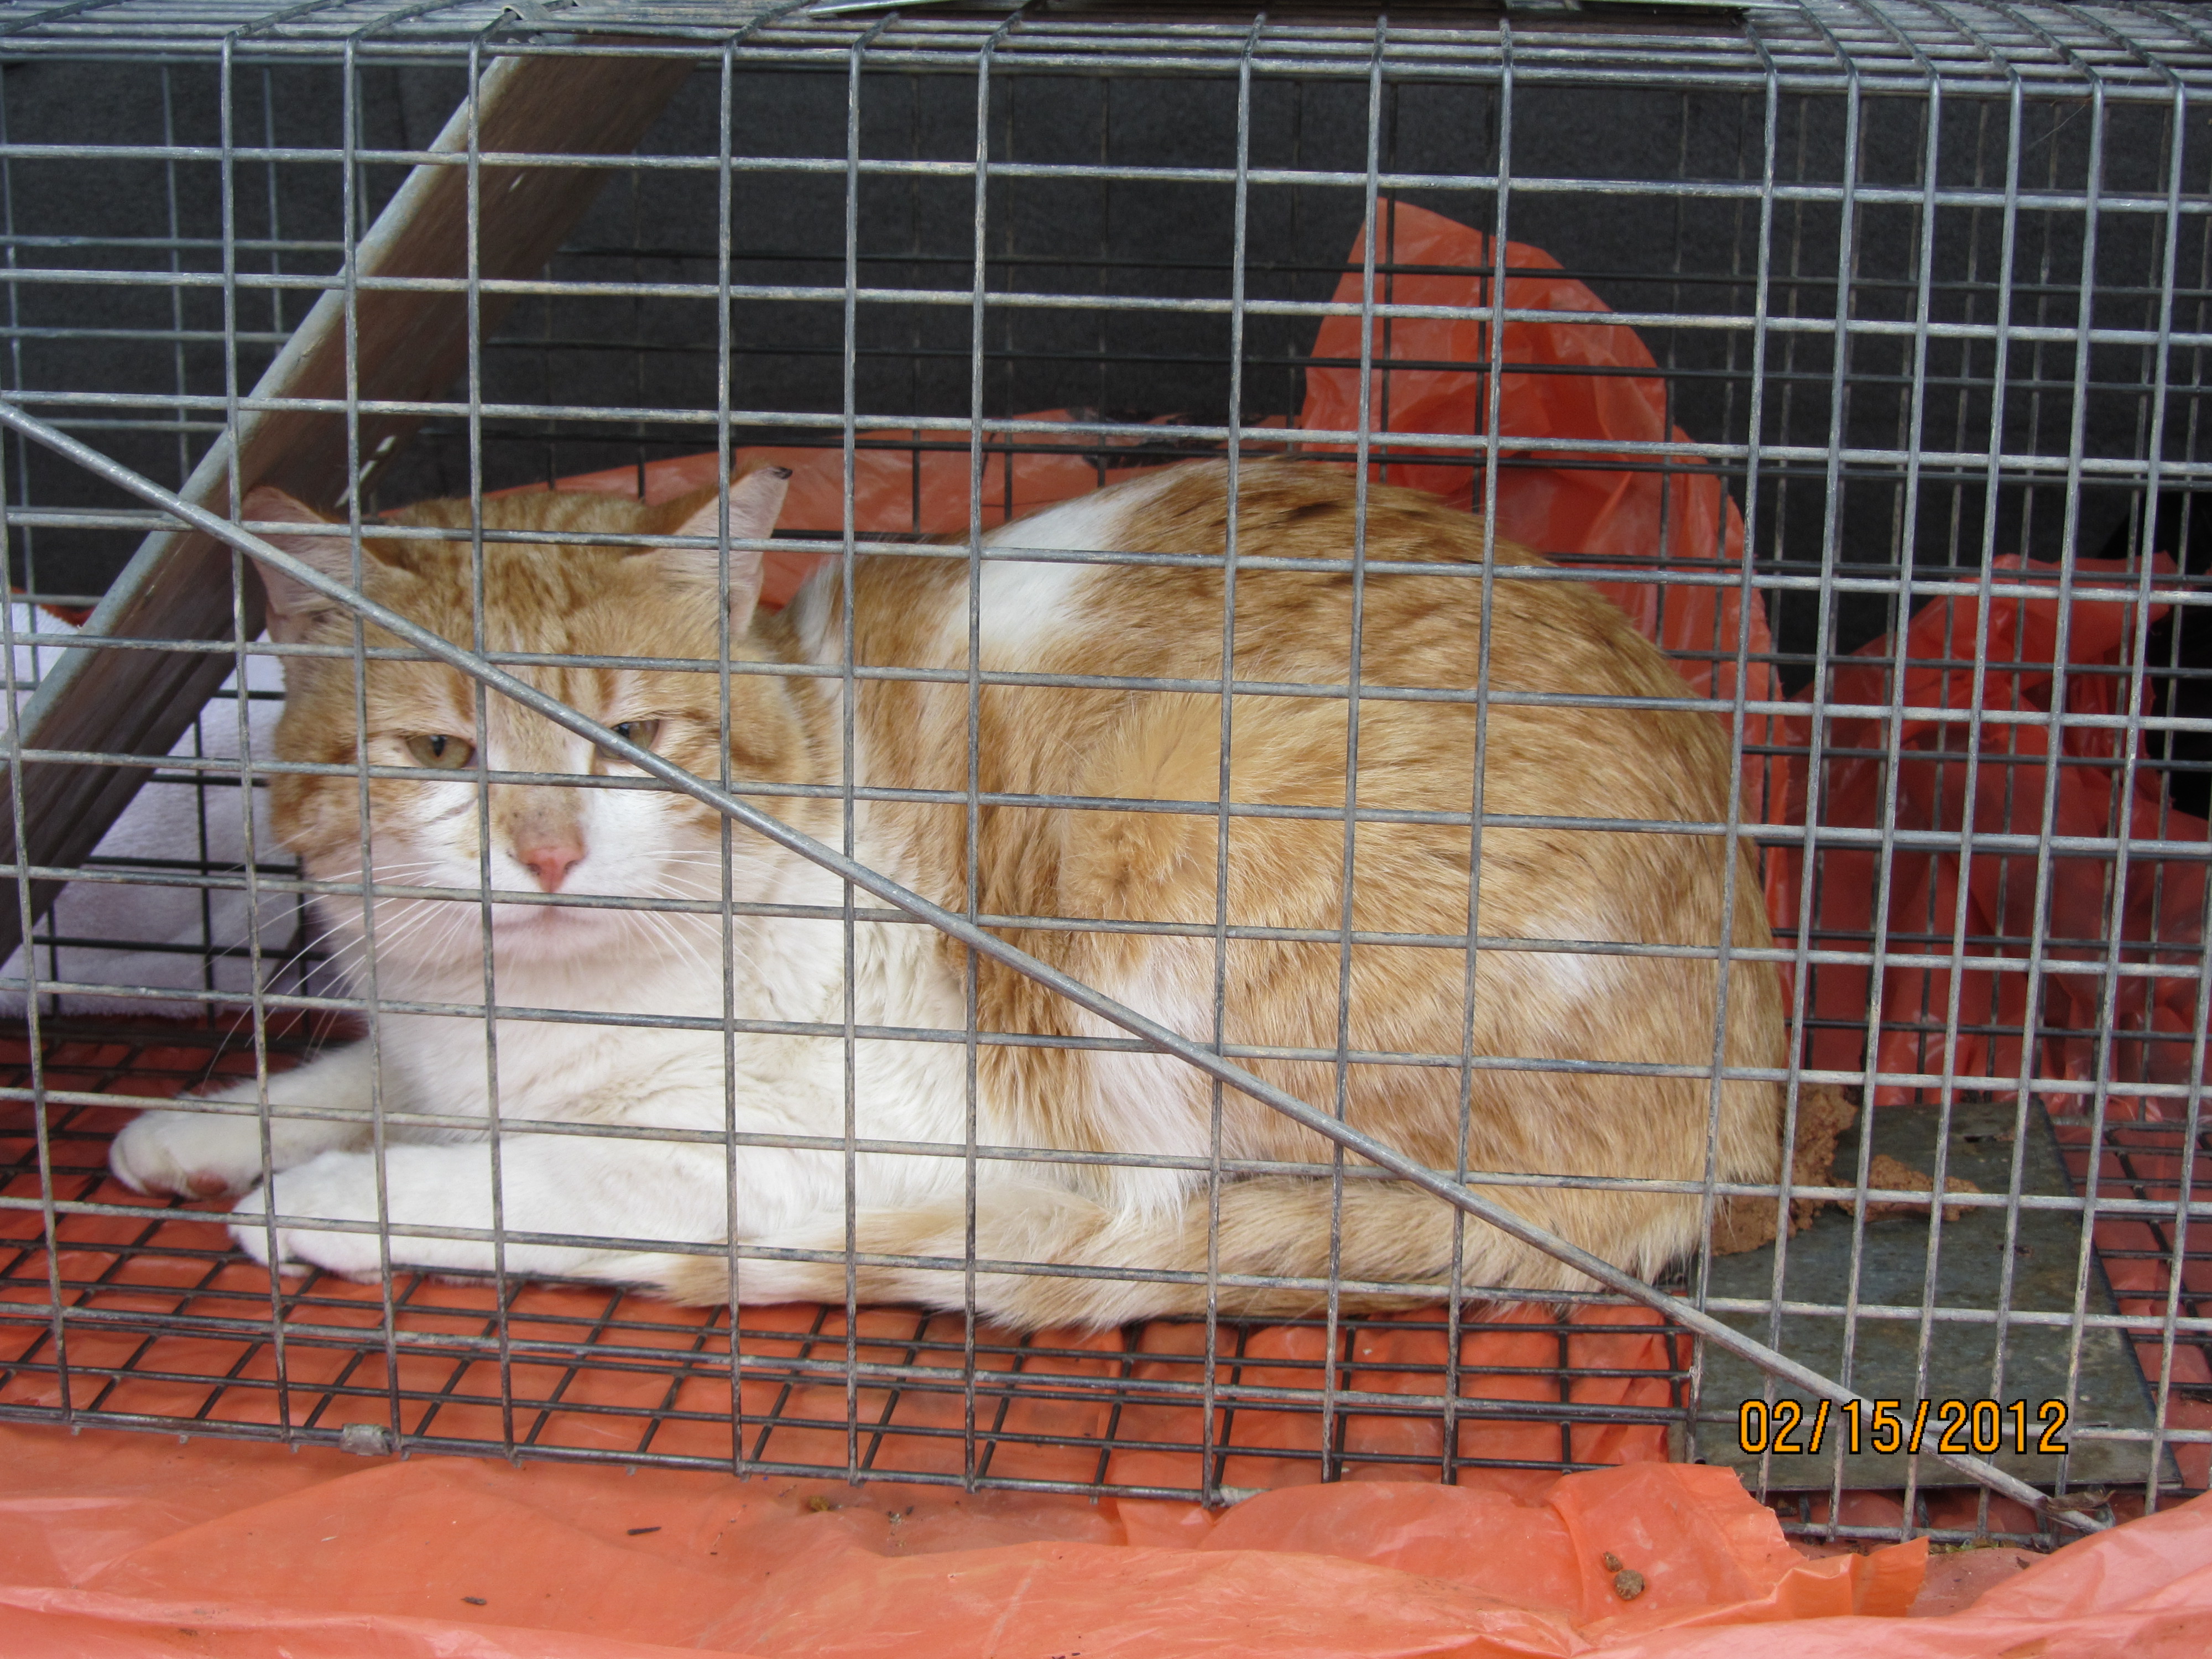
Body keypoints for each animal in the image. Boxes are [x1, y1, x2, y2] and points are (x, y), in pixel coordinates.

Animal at [110, 458, 1785, 1329]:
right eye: (443, 750)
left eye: (632, 737)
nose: (548, 849)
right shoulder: (426, 1041)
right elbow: (355, 1079)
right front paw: (198, 1128)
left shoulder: (781, 1152)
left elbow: (520, 1175)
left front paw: (324, 1197)